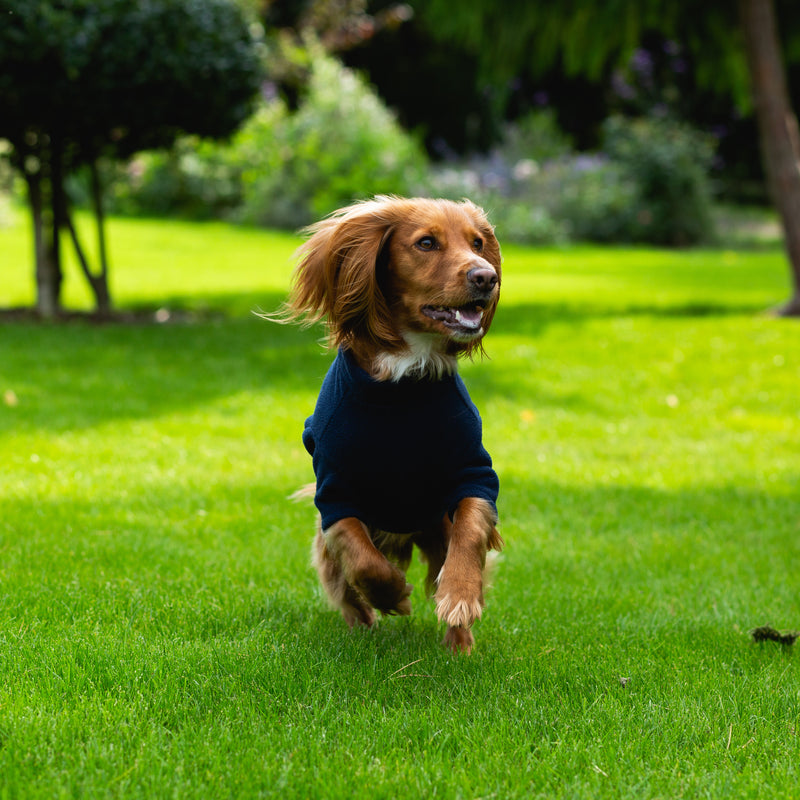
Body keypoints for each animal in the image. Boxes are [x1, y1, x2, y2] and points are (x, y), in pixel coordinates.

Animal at [284, 197, 504, 652]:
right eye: (426, 243)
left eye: (478, 242)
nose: (487, 277)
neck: (405, 375)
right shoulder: (335, 490)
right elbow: (359, 553)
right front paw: (393, 594)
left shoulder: (473, 471)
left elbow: (471, 531)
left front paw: (460, 596)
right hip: (328, 553)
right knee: (345, 590)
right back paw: (363, 626)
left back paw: (459, 644)